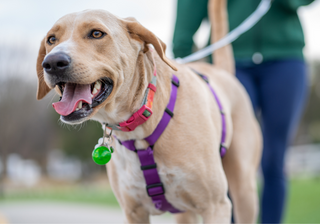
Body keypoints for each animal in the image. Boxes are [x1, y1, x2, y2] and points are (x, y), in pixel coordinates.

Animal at [35, 0, 260, 223]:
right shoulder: (134, 212)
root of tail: (223, 73)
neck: (140, 125)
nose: (52, 62)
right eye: (51, 39)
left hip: (244, 192)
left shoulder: (215, 207)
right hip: (186, 212)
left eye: (97, 33)